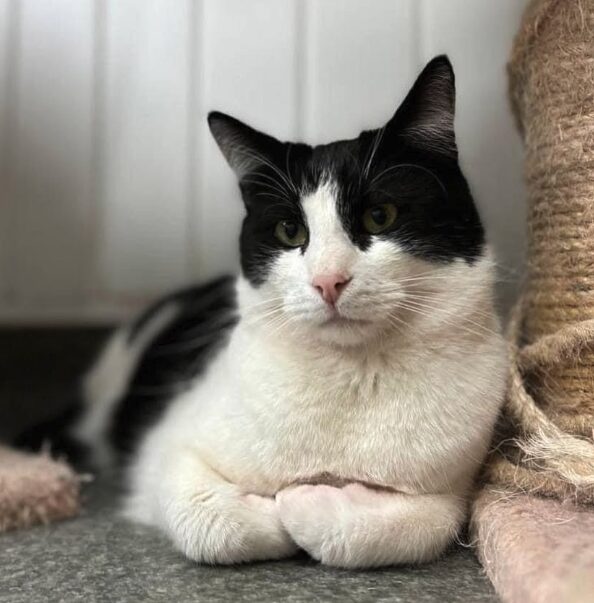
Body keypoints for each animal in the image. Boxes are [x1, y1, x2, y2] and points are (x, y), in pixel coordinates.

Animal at [38, 55, 504, 568]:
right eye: (289, 231)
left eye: (379, 217)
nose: (328, 280)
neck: (352, 377)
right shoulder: (167, 448)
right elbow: (208, 522)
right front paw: (276, 509)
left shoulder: (450, 489)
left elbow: (423, 525)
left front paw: (308, 501)